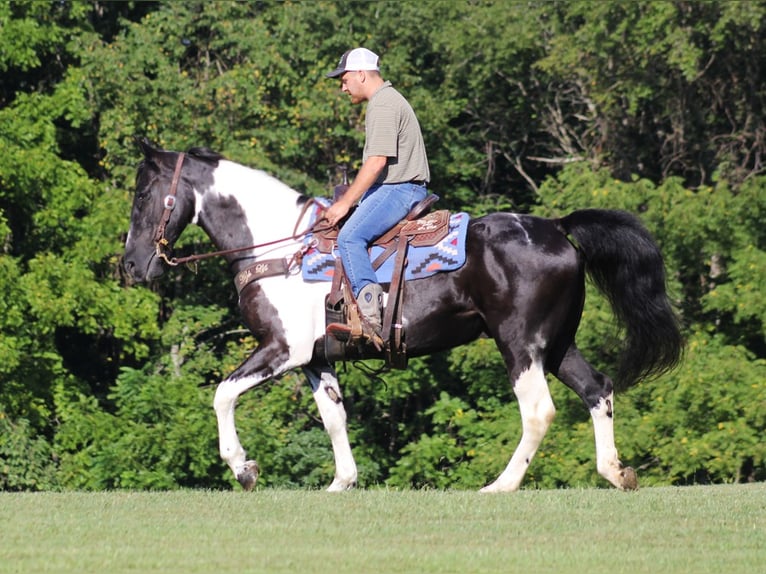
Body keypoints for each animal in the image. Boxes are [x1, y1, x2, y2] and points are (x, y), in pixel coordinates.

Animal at [124, 141, 684, 496]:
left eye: (142, 195)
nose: (129, 266)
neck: (278, 247)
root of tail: (557, 227)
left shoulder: (282, 349)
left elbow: (222, 394)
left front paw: (243, 468)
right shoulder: (316, 359)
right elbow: (334, 417)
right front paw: (342, 482)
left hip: (520, 344)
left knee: (538, 411)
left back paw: (501, 485)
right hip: (559, 343)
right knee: (598, 389)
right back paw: (616, 473)